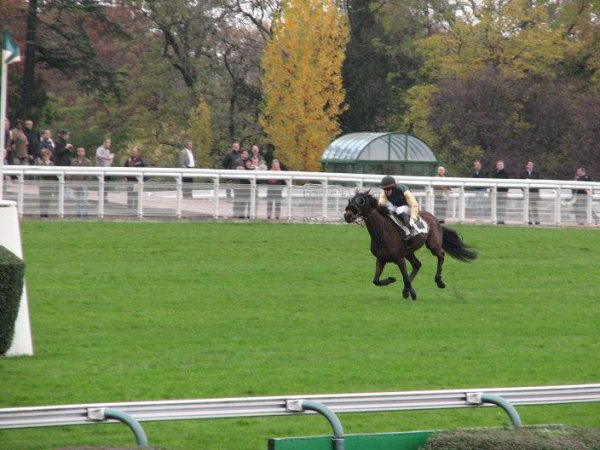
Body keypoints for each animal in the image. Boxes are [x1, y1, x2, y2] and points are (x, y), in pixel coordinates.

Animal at [342, 189, 478, 298]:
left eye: (361, 200)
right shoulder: (381, 259)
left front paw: (409, 291)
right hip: (409, 252)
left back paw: (439, 281)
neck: (381, 232)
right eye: (351, 199)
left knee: (441, 255)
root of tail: (435, 219)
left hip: (432, 245)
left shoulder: (399, 258)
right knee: (417, 264)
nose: (347, 215)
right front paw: (394, 281)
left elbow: (405, 277)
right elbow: (376, 280)